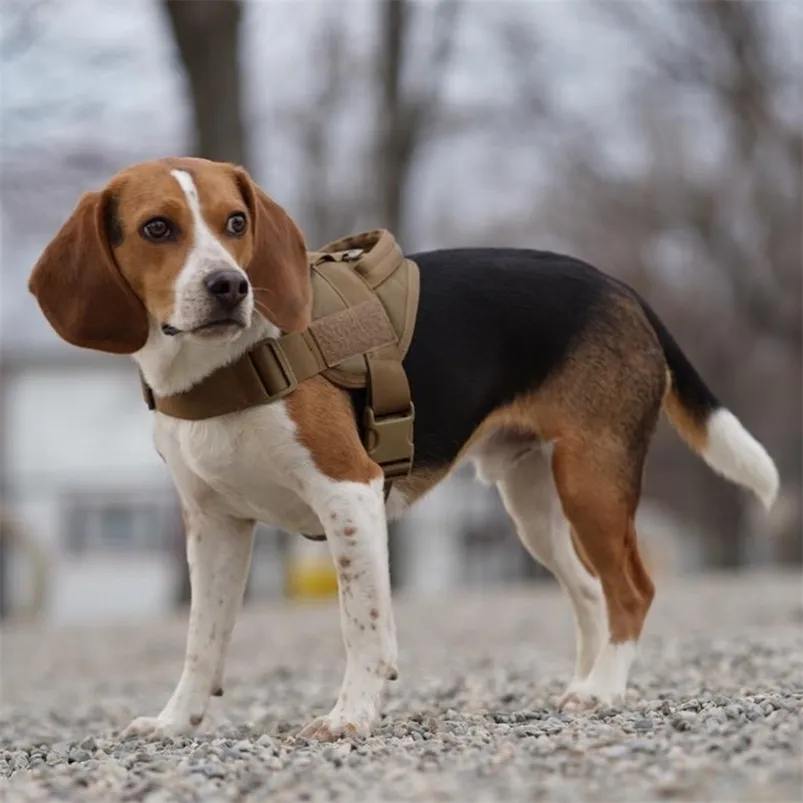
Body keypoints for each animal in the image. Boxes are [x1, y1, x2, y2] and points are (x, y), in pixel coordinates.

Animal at [26, 155, 780, 740]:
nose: (230, 287)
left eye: (235, 222)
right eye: (157, 228)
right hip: (534, 504)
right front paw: (175, 722)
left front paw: (351, 715)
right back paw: (583, 684)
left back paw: (604, 690)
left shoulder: (348, 493)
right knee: (593, 592)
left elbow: (361, 623)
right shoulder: (215, 526)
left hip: (591, 480)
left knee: (632, 590)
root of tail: (622, 288)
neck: (223, 367)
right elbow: (200, 643)